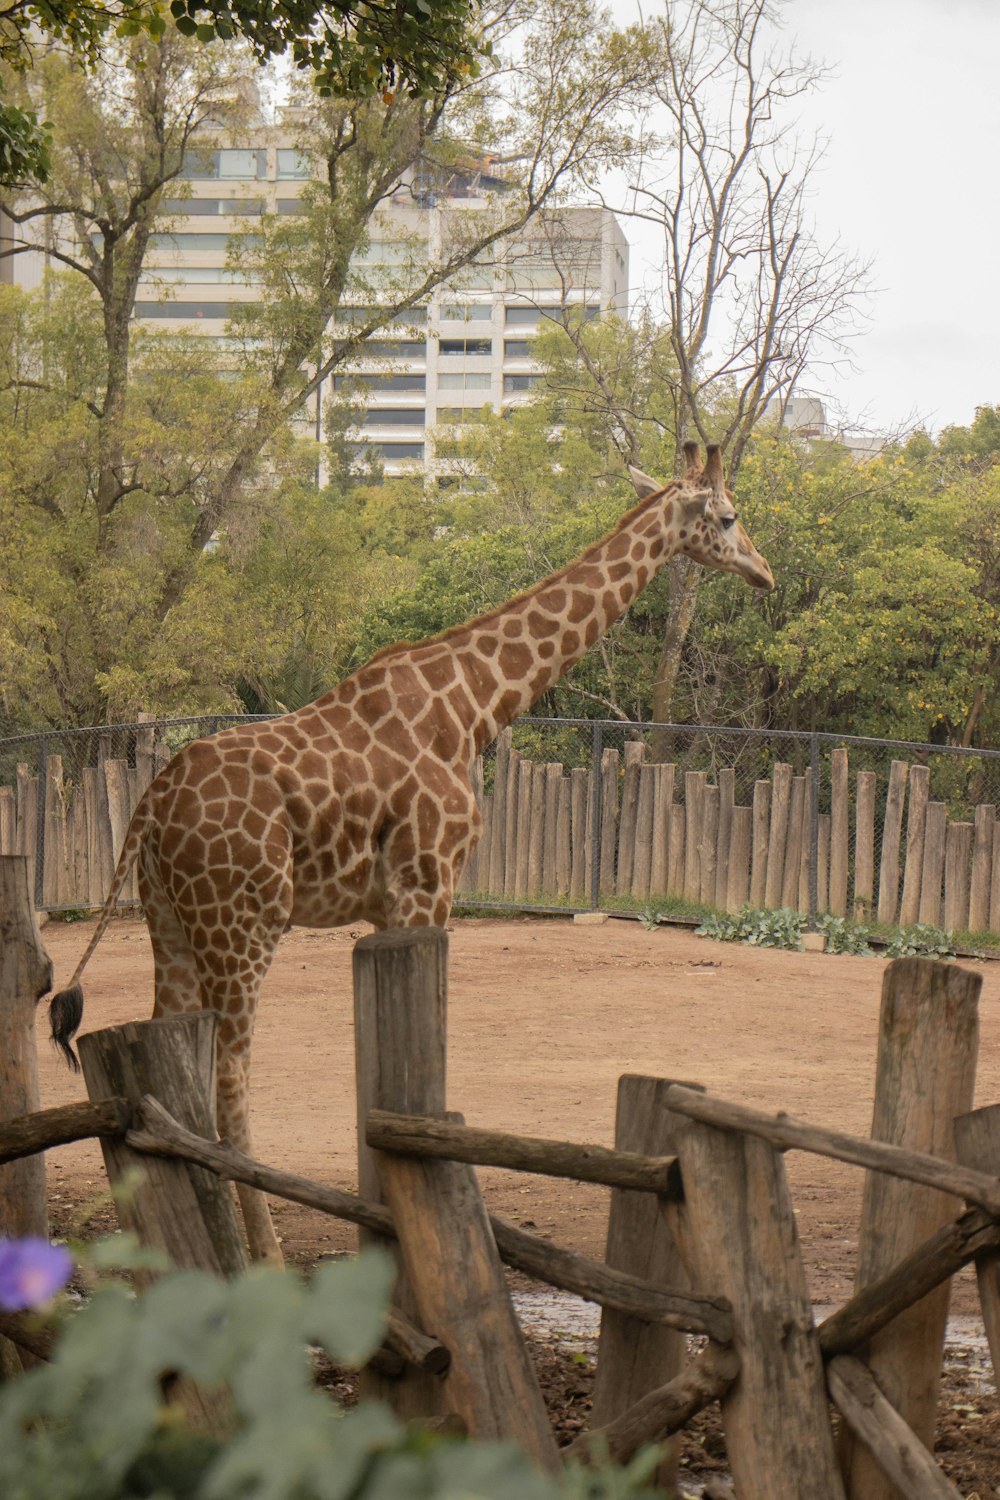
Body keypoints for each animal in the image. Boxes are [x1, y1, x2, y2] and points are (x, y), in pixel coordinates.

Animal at [44, 438, 773, 1260]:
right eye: (728, 516)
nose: (764, 572)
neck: (476, 704)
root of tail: (153, 800)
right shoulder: (431, 883)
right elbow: (424, 1071)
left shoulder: (390, 904)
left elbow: (381, 1080)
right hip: (243, 925)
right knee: (228, 1076)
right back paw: (265, 1252)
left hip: (168, 919)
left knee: (167, 1061)